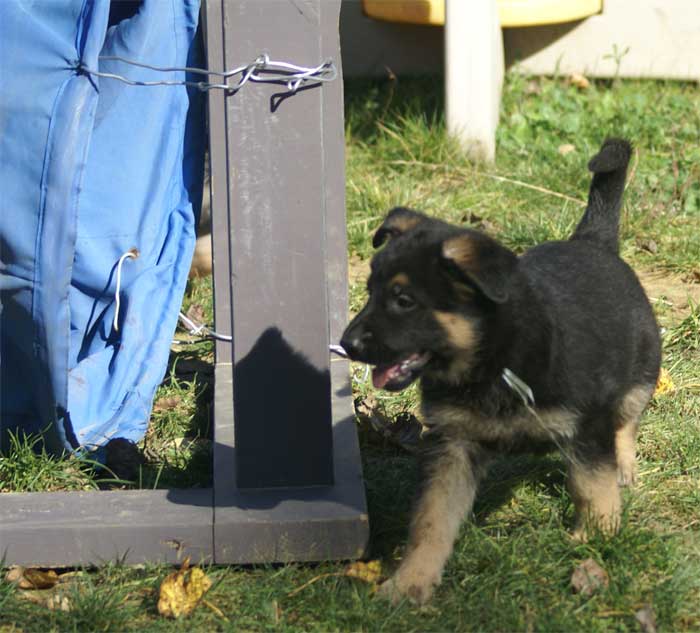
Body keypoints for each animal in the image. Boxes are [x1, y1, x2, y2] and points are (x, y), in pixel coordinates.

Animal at [344, 139, 660, 604]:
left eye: (404, 300)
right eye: (370, 292)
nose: (346, 344)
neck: (494, 363)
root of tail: (593, 242)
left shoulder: (587, 426)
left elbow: (592, 486)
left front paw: (597, 540)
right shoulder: (452, 445)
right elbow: (432, 520)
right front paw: (410, 582)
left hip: (641, 372)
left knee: (626, 421)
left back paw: (623, 468)